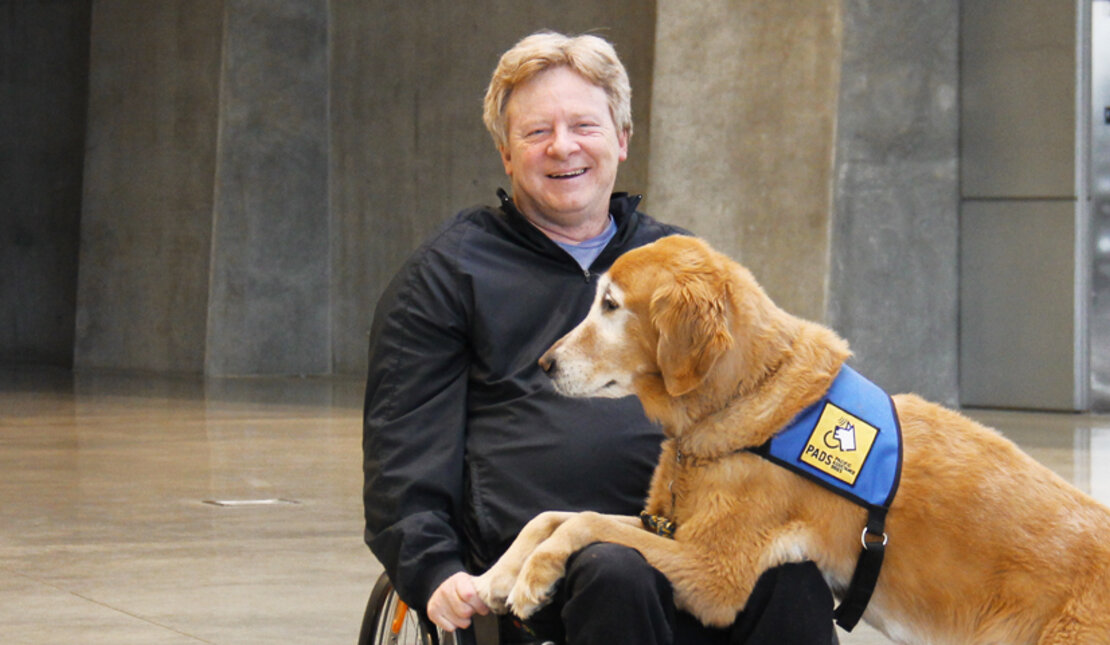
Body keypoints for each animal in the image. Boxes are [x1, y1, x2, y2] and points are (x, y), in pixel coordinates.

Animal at [472, 234, 1110, 639]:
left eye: (609, 304)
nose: (544, 364)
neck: (749, 396)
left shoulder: (714, 572)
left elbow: (583, 521)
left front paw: (533, 578)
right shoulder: (672, 527)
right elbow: (551, 515)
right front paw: (492, 578)